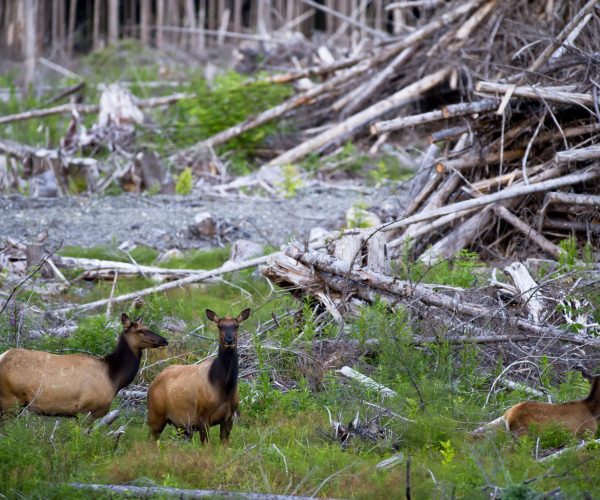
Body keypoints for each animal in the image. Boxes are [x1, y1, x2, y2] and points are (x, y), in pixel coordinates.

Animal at [0, 314, 168, 420]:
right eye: (141, 330)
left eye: (147, 327)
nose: (164, 340)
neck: (114, 377)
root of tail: (3, 356)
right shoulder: (86, 409)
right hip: (9, 400)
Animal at [148, 306, 251, 444]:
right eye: (220, 326)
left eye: (236, 326)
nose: (229, 340)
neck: (225, 387)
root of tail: (152, 383)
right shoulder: (202, 417)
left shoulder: (229, 418)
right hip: (155, 417)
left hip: (181, 426)